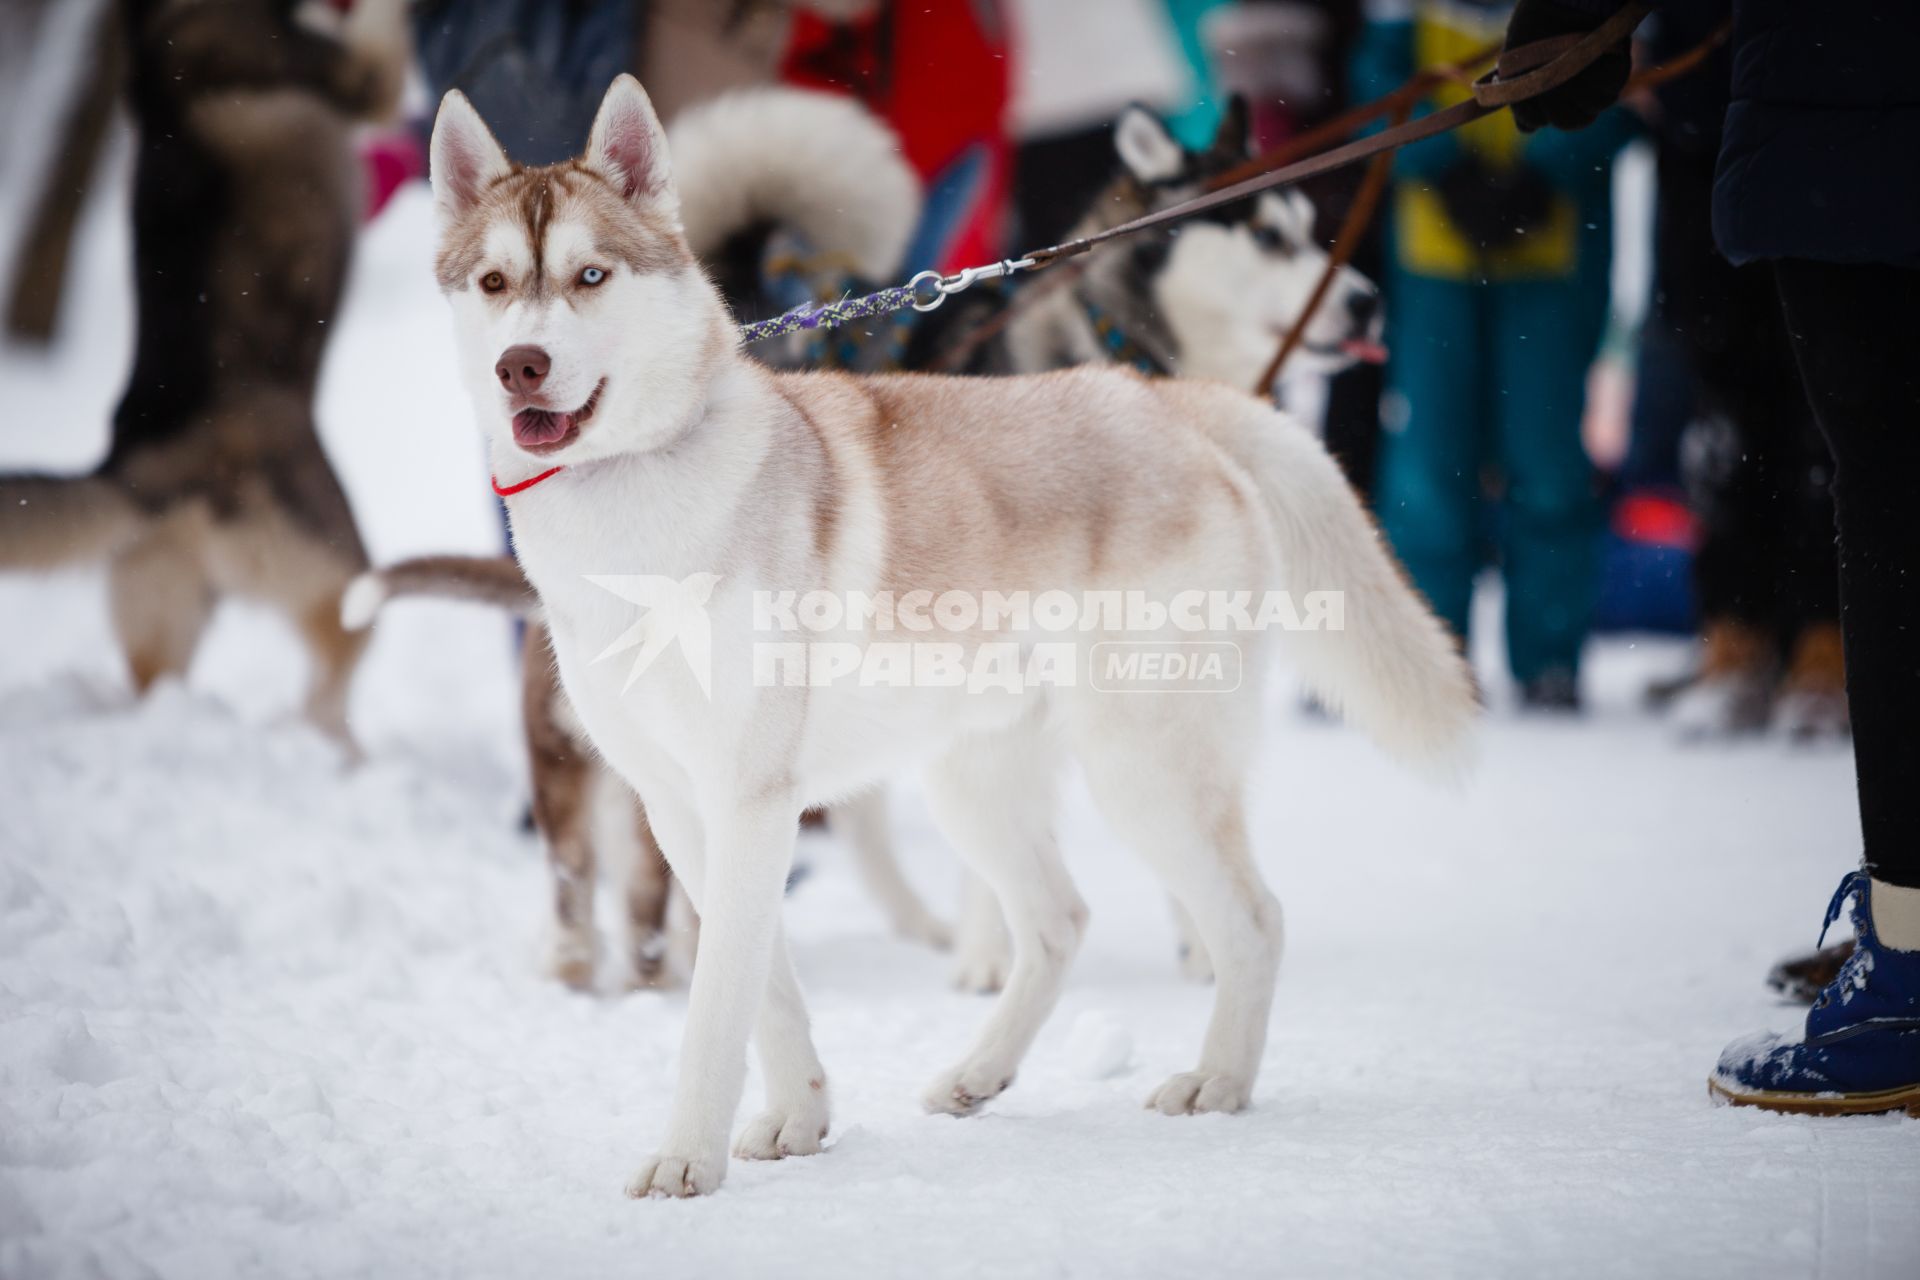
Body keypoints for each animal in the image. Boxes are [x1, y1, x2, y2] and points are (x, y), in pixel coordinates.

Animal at [424, 77, 1466, 1205]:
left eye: (590, 275)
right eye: (494, 282)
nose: (521, 365)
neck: (631, 498)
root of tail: (1169, 401)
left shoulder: (748, 801)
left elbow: (717, 1004)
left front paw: (687, 1157)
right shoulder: (683, 806)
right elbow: (768, 988)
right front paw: (800, 1118)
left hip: (1138, 767)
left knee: (1255, 920)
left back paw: (1217, 1082)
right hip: (976, 779)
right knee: (1058, 921)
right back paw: (978, 1073)